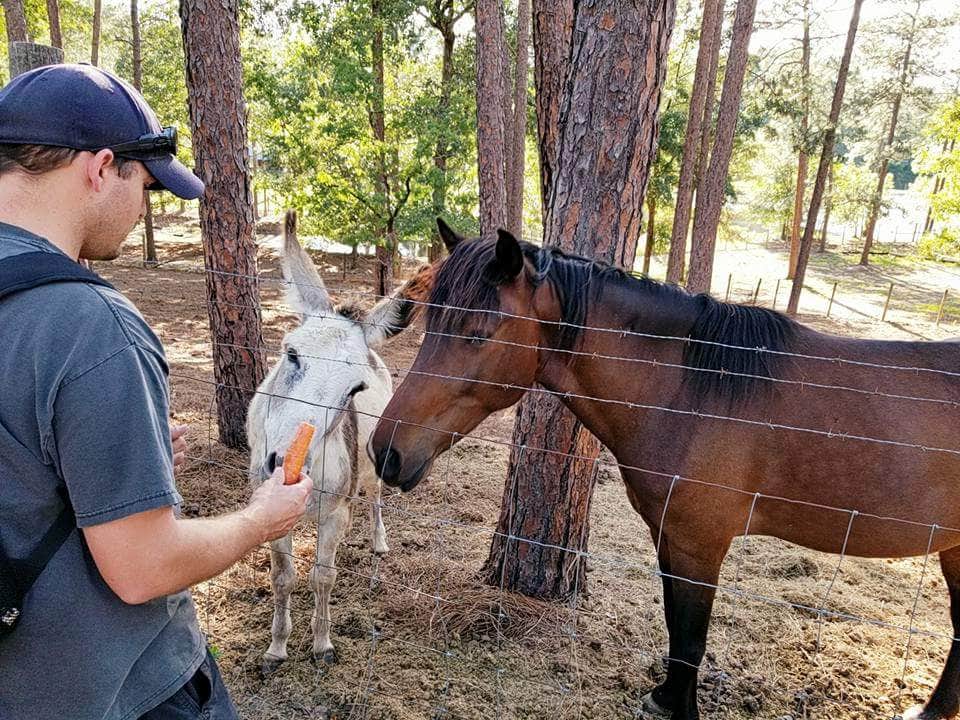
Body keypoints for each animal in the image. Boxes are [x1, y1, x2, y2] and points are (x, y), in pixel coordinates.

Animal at [372, 221, 960, 720]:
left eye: (477, 332)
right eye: (430, 324)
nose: (386, 452)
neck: (690, 392)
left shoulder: (700, 544)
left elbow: (692, 639)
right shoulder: (669, 537)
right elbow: (677, 631)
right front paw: (666, 698)